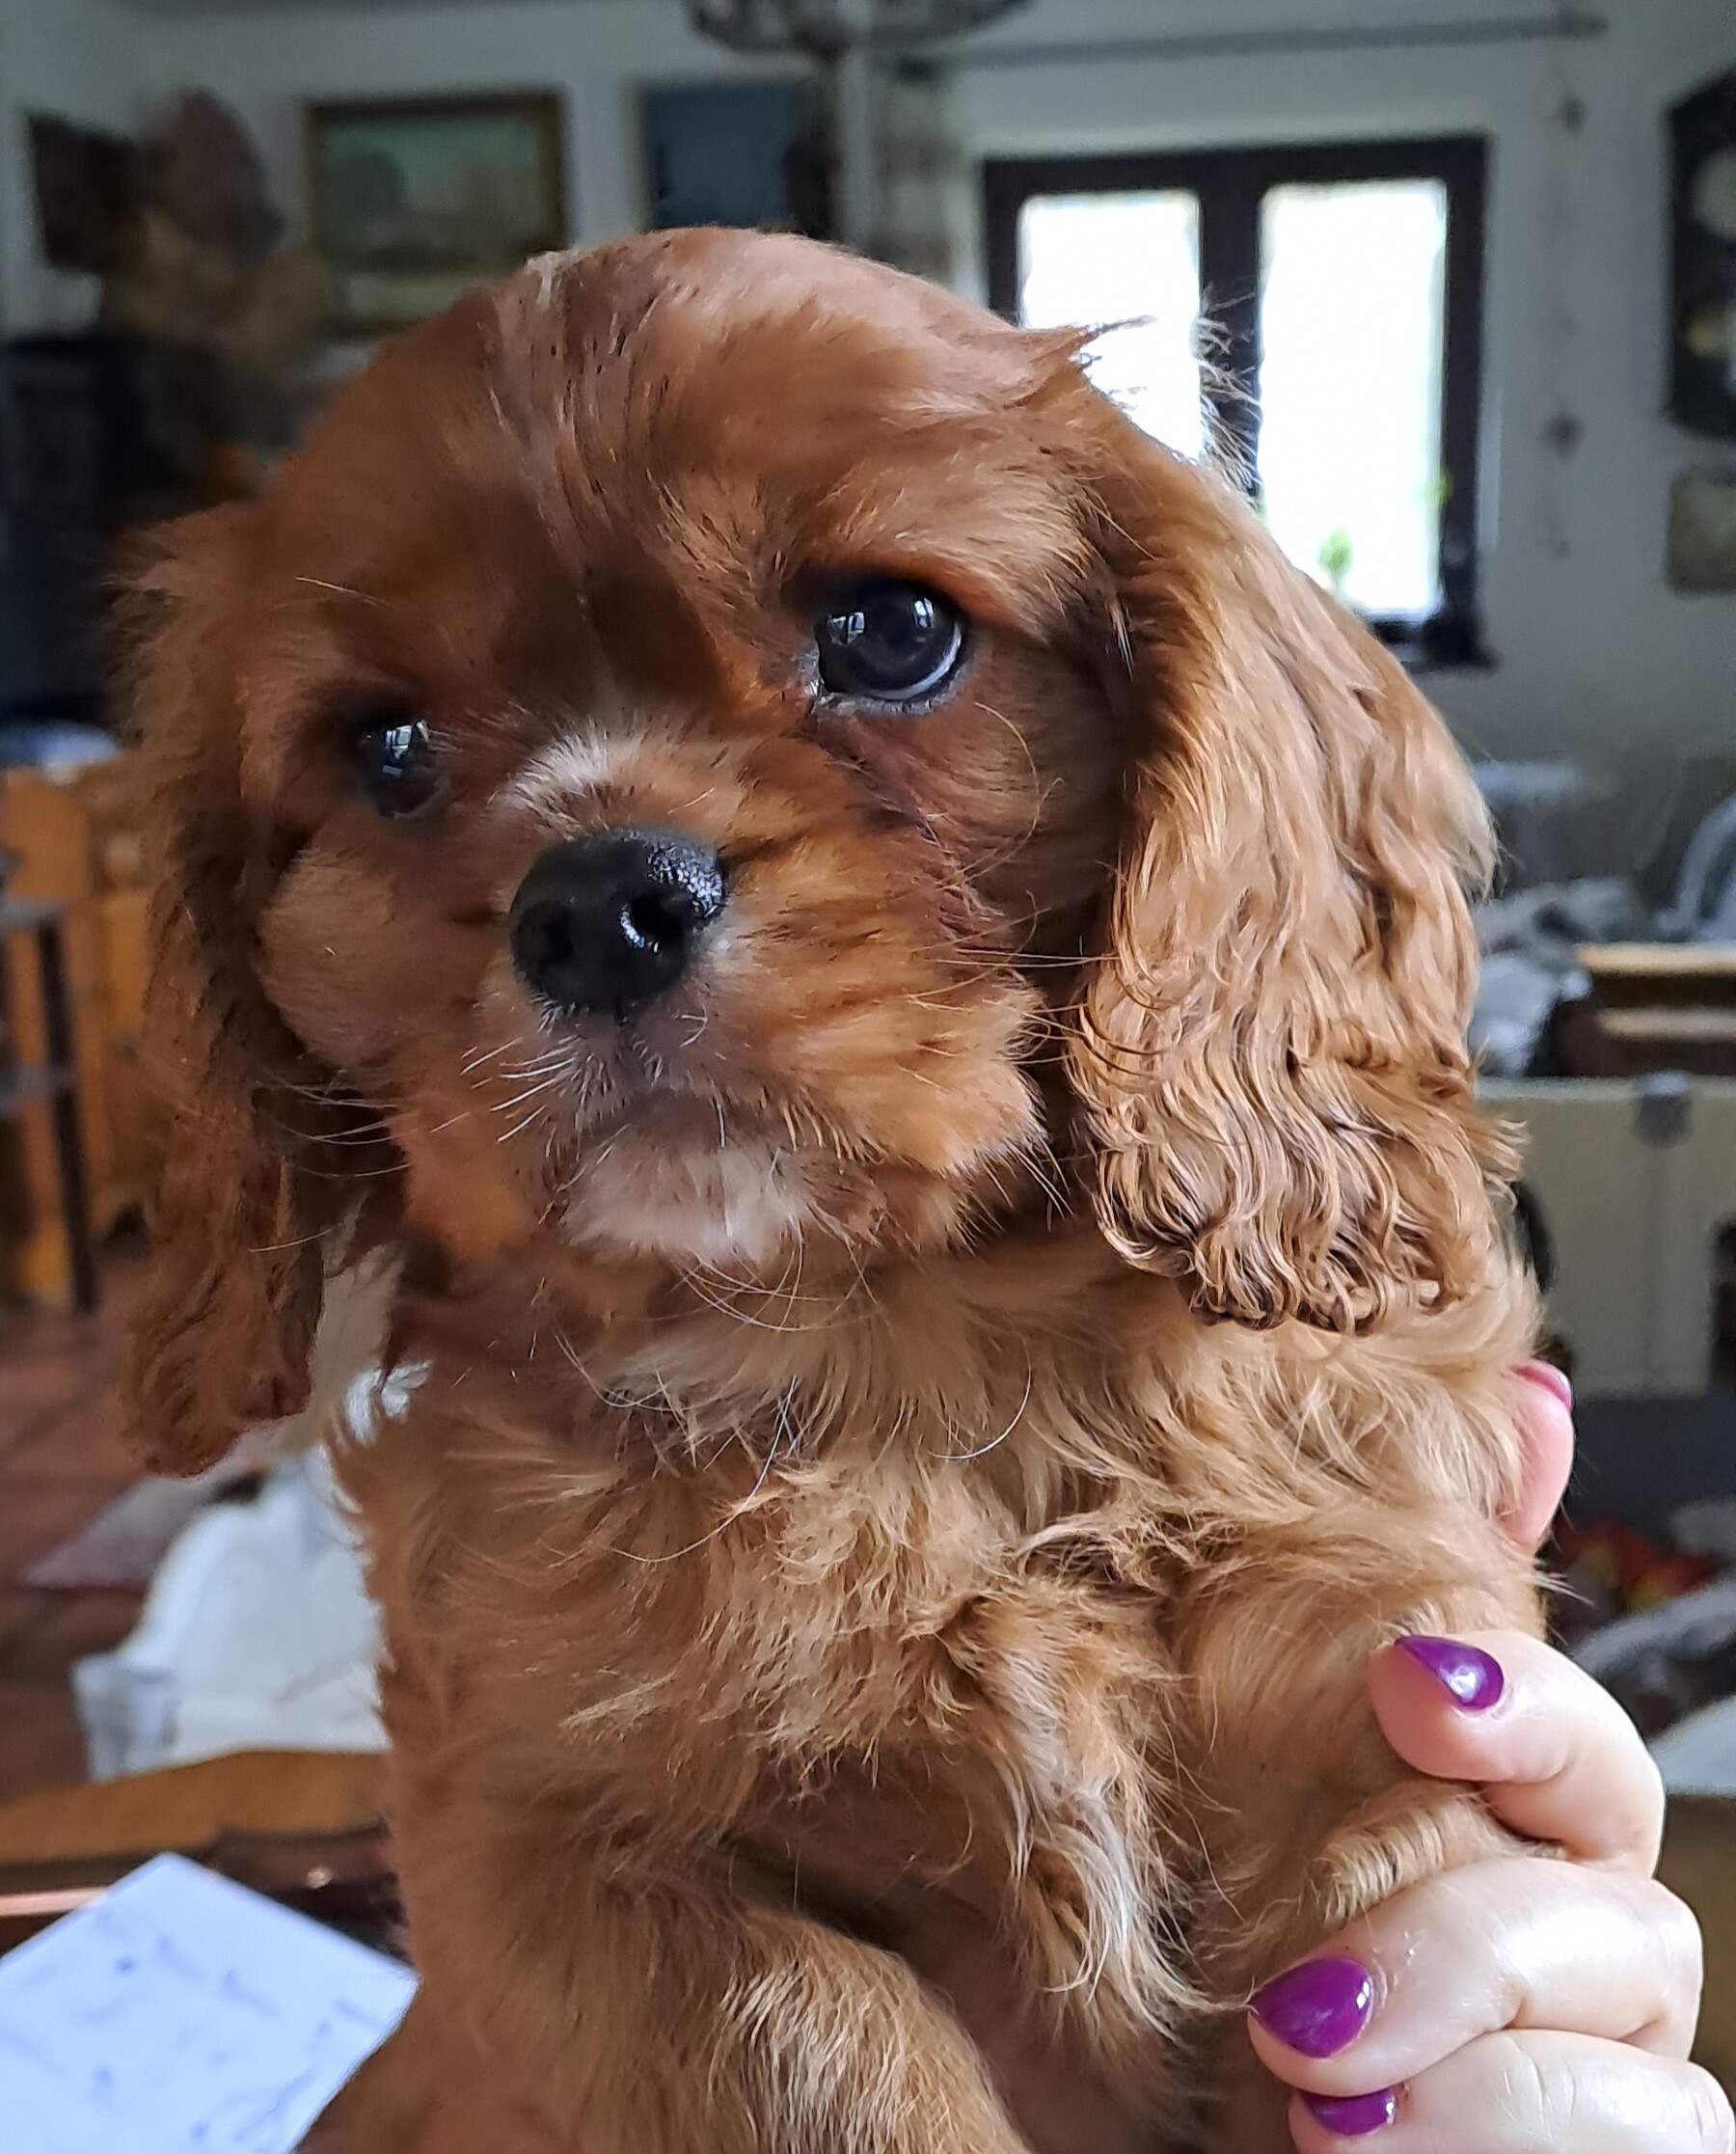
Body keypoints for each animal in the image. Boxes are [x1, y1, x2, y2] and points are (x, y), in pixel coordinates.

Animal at [124, 229, 1540, 2153]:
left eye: (890, 631)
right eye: (390, 749)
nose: (596, 903)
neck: (913, 1365)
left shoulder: (1376, 1665)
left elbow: (1381, 1937)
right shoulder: (540, 1841)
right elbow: (815, 2026)